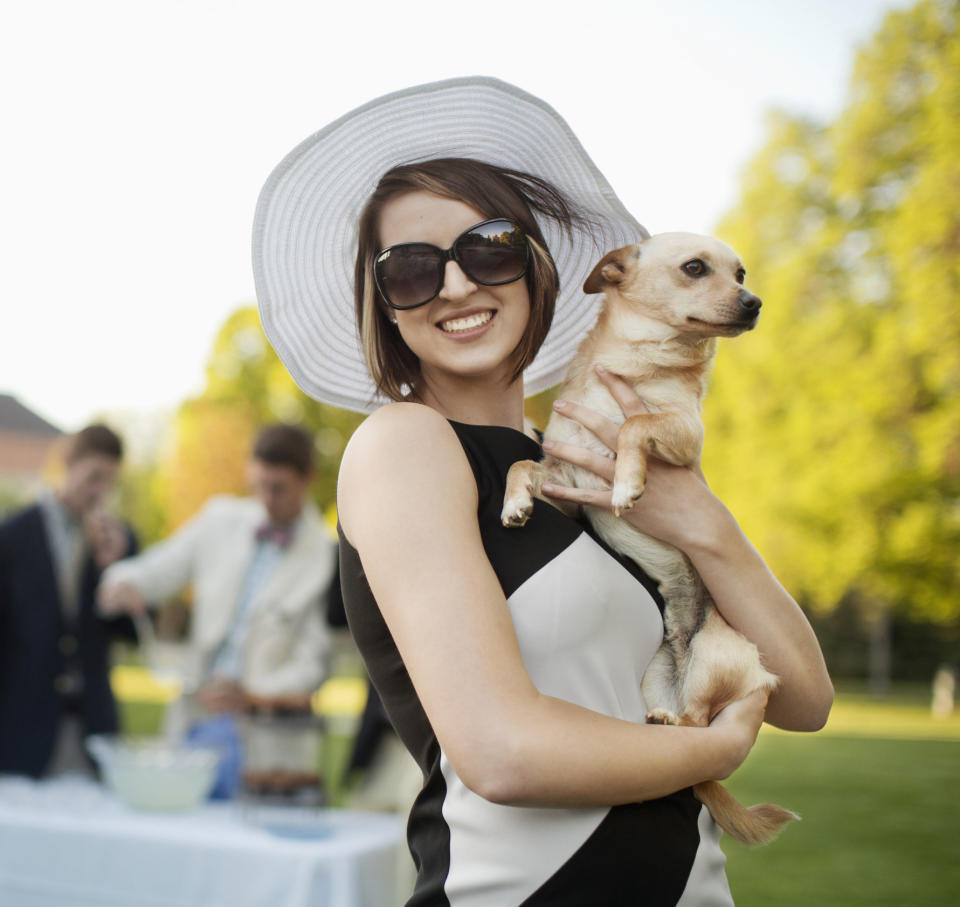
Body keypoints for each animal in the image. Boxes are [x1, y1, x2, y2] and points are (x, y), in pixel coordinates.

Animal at [498, 232, 800, 844]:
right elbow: (524, 463)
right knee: (687, 731)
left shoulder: (682, 437)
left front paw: (627, 483)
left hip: (714, 660)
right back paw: (662, 718)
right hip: (656, 676)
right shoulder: (564, 485)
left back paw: (679, 722)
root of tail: (685, 651)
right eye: (695, 268)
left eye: (740, 273)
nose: (754, 301)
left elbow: (636, 425)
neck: (634, 362)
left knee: (703, 729)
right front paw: (514, 503)